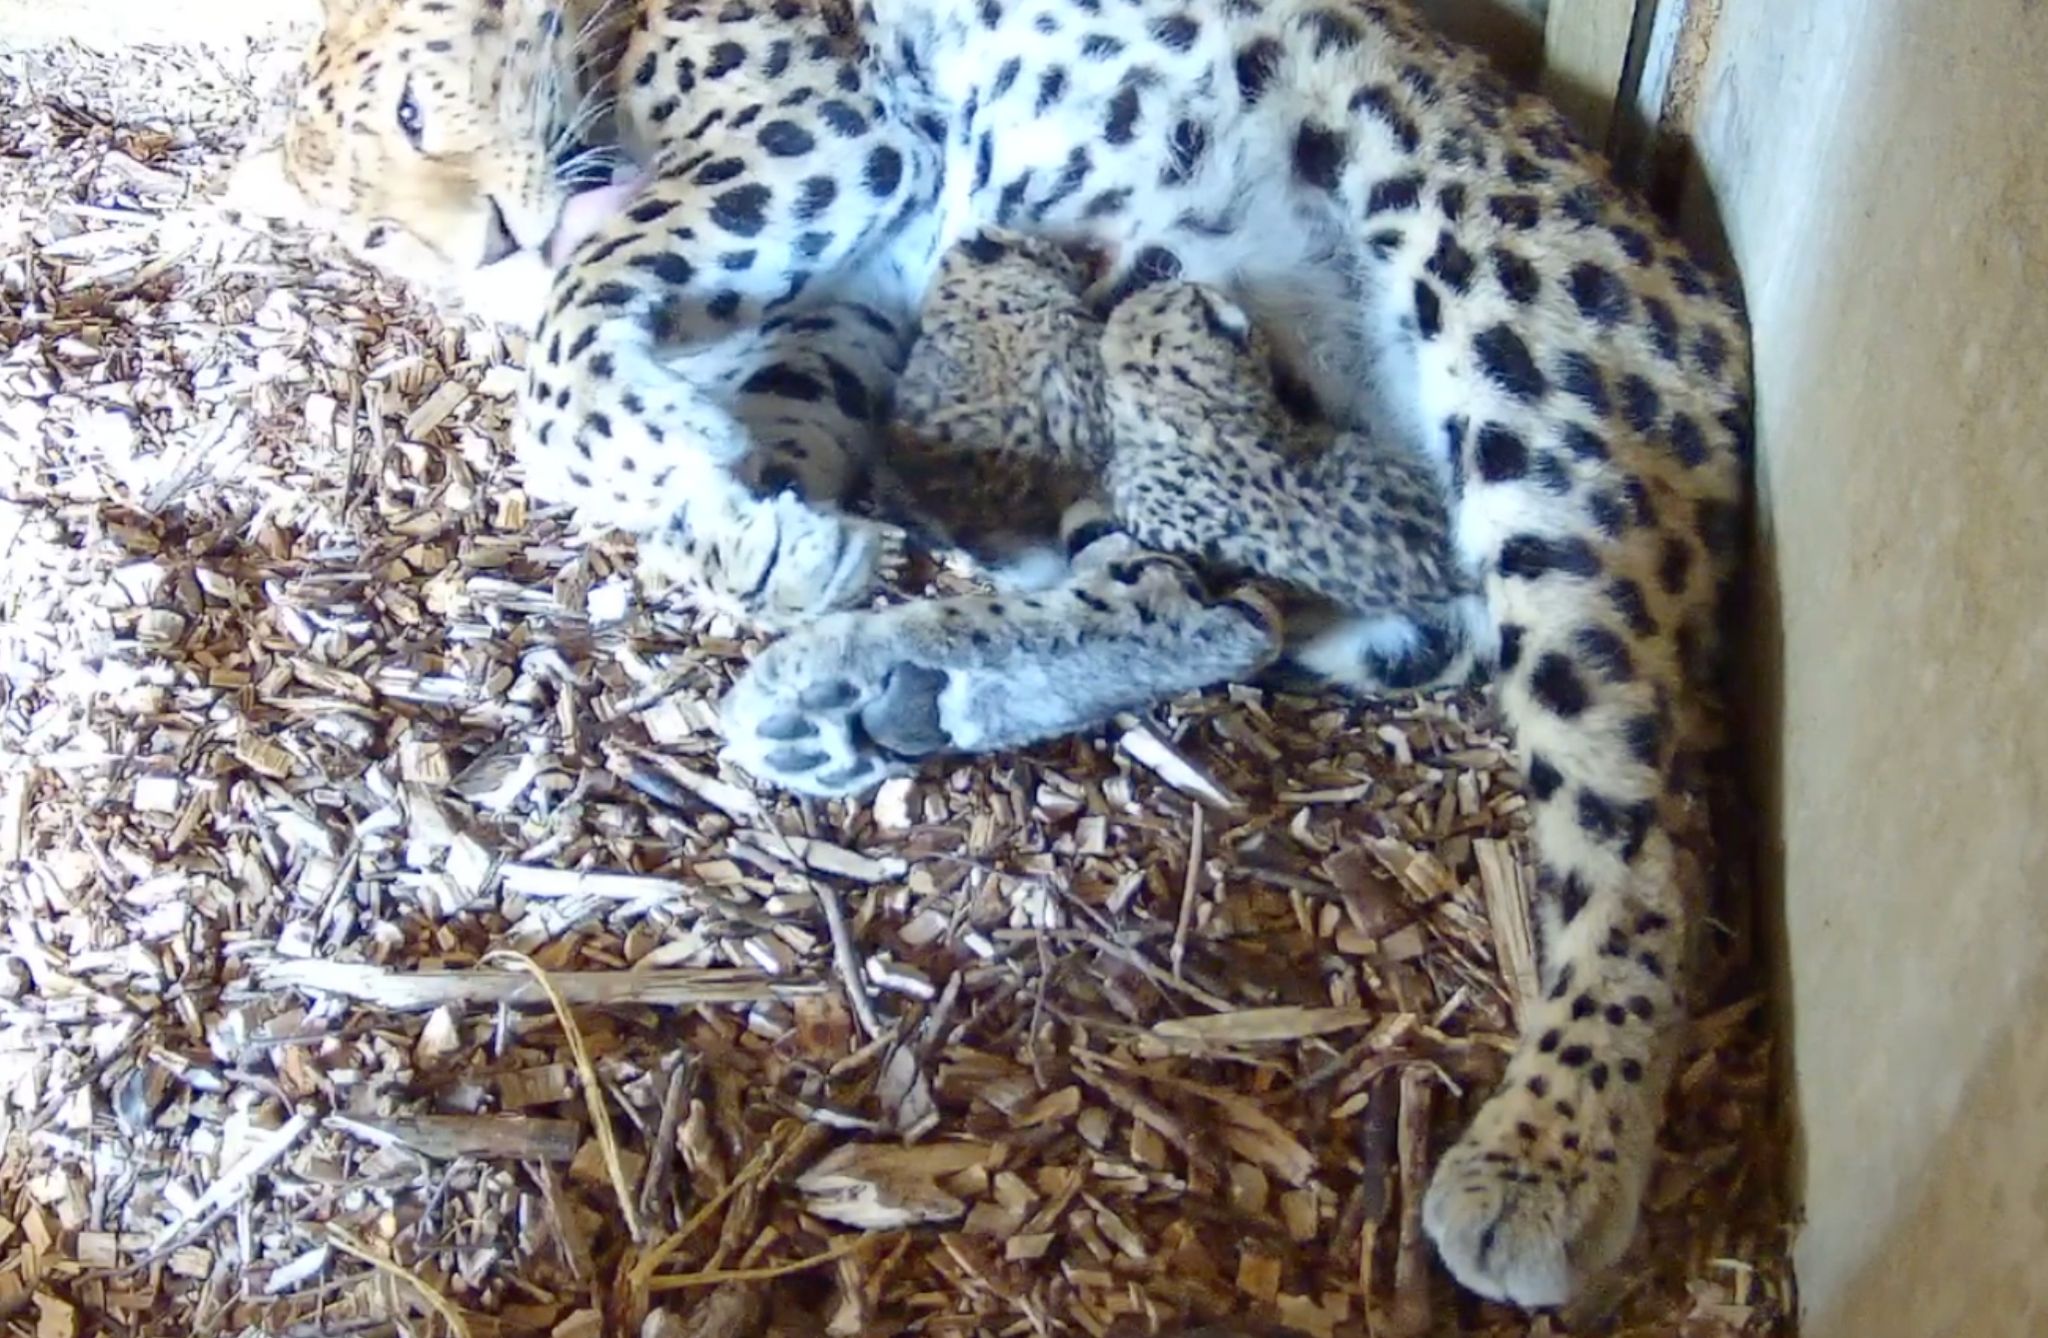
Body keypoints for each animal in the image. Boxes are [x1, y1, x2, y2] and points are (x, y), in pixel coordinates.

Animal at [231, 0, 1754, 1312]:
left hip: (1536, 394)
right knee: (1202, 604)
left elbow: (567, 349)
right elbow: (753, 416)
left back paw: (1550, 1153)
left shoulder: (821, 124)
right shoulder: (854, 283)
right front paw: (757, 535)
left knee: (1649, 829)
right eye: (380, 235)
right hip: (1159, 394)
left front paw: (660, 455)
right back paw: (874, 684)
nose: (488, 246)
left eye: (418, 110)